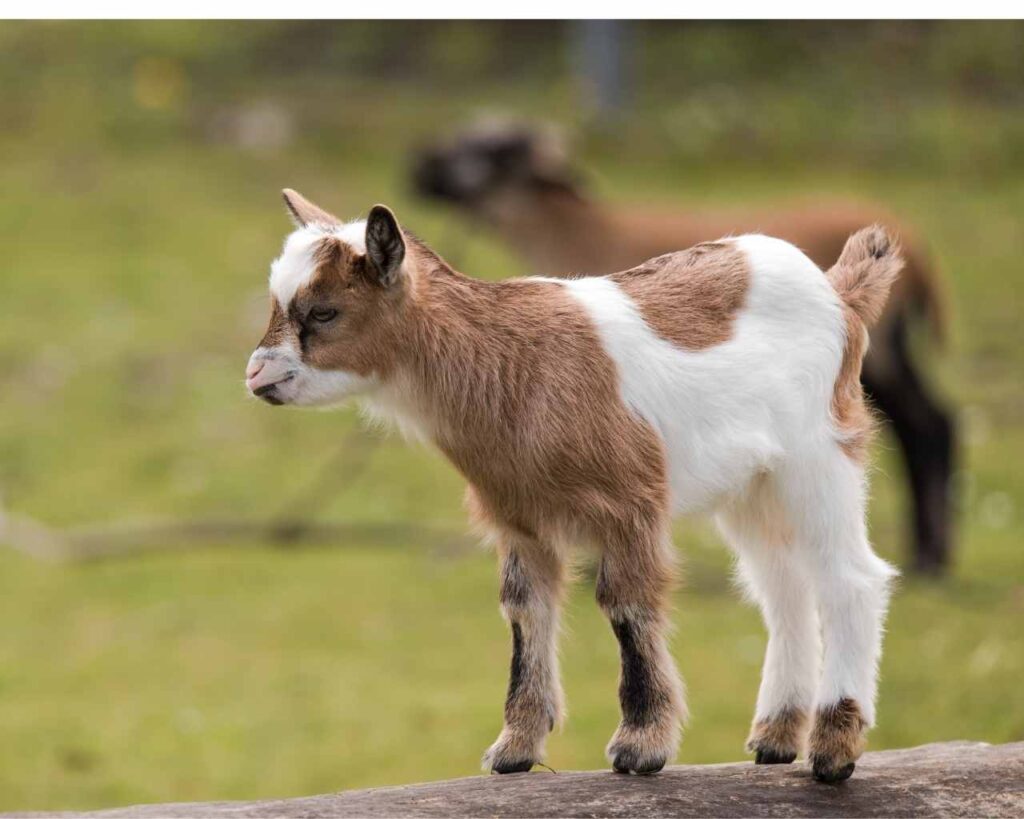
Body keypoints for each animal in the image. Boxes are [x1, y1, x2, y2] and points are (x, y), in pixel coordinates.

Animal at [245, 188, 897, 782]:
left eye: (323, 311)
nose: (256, 376)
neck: (505, 361)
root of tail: (838, 291)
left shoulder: (629, 502)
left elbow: (626, 605)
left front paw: (641, 746)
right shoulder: (519, 518)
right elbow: (524, 611)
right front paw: (514, 749)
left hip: (820, 456)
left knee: (850, 579)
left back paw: (833, 751)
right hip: (754, 485)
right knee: (784, 587)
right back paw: (775, 738)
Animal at [411, 121, 954, 573]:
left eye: (497, 151)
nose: (418, 169)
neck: (584, 236)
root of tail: (917, 251)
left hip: (870, 357)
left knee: (926, 425)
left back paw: (929, 559)